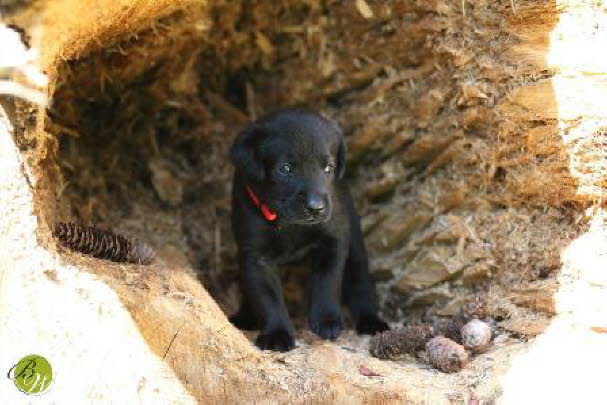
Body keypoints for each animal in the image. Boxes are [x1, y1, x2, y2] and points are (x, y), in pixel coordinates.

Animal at [228, 109, 390, 350]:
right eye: (285, 169)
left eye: (328, 168)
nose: (316, 207)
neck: (291, 224)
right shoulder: (255, 255)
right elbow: (267, 297)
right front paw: (277, 334)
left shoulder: (334, 240)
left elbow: (327, 281)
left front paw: (327, 321)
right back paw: (245, 316)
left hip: (355, 241)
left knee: (360, 280)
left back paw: (371, 321)